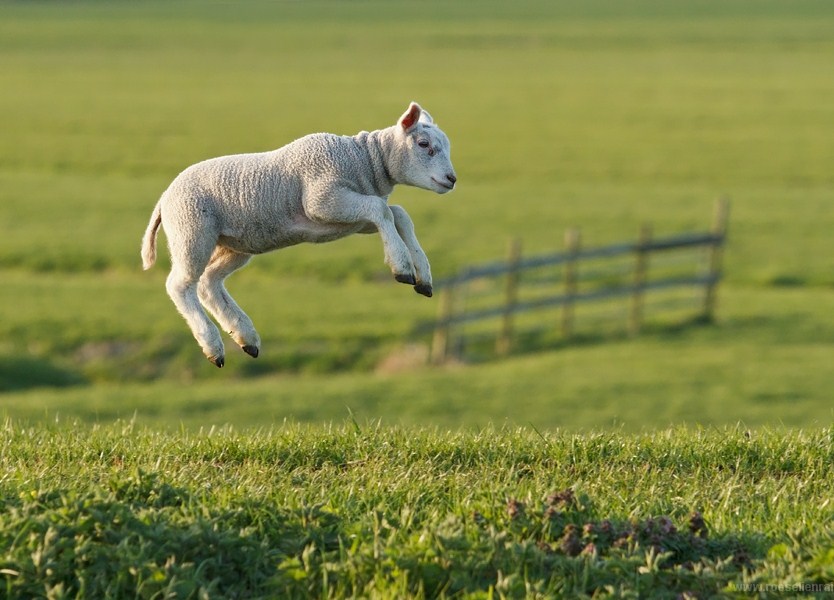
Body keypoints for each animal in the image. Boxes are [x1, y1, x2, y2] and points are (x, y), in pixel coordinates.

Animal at [141, 101, 456, 368]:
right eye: (424, 144)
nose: (452, 179)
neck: (363, 160)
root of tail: (164, 198)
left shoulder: (348, 218)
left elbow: (397, 214)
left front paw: (423, 277)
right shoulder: (323, 199)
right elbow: (383, 209)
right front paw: (402, 267)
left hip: (234, 244)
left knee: (209, 282)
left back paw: (246, 337)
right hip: (192, 230)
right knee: (180, 285)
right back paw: (212, 345)